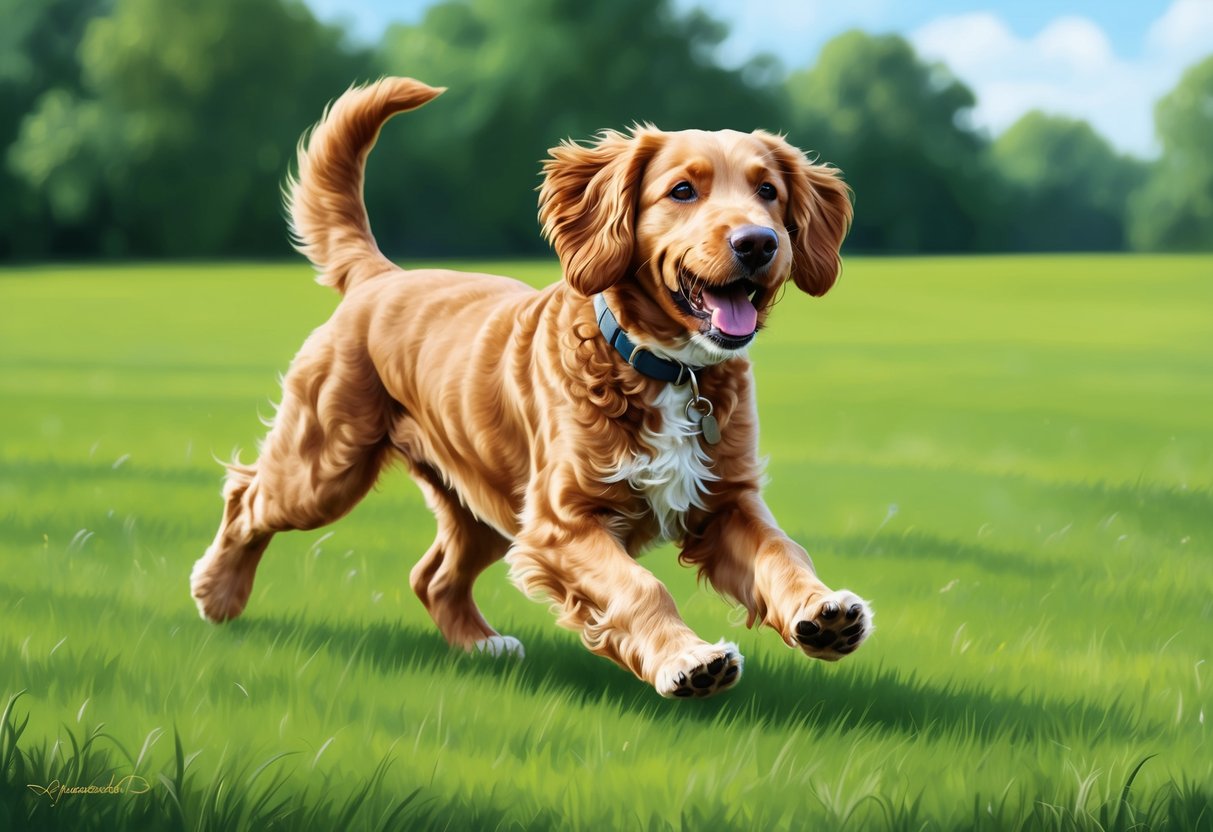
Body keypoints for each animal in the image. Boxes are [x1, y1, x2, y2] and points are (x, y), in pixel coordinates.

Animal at [186, 78, 873, 698]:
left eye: (768, 191)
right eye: (683, 190)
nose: (758, 242)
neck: (668, 369)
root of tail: (379, 276)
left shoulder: (725, 502)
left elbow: (783, 554)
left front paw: (823, 614)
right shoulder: (561, 520)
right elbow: (638, 586)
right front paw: (687, 660)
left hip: (486, 501)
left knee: (432, 576)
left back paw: (481, 645)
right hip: (324, 466)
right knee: (246, 497)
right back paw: (217, 593)